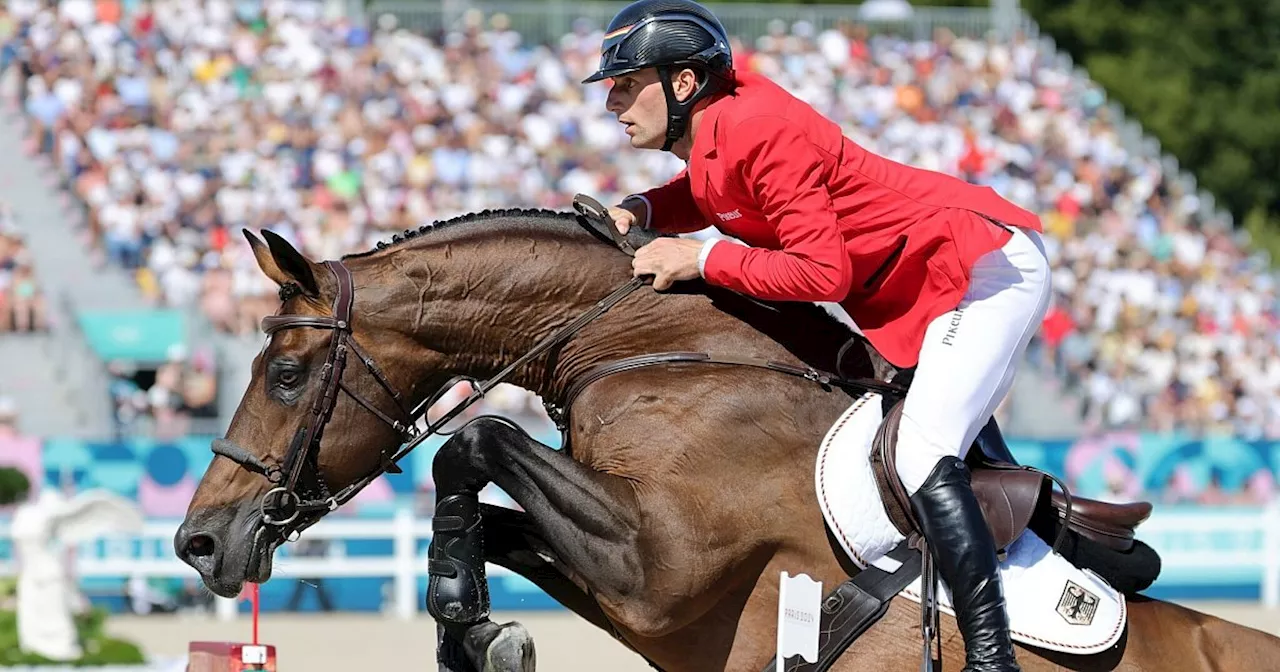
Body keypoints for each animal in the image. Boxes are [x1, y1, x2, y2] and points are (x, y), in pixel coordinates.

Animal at [177, 209, 1280, 670]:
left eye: (284, 376)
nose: (198, 542)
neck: (649, 351)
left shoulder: (660, 568)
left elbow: (475, 443)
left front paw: (457, 603)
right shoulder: (648, 594)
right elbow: (492, 514)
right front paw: (474, 626)